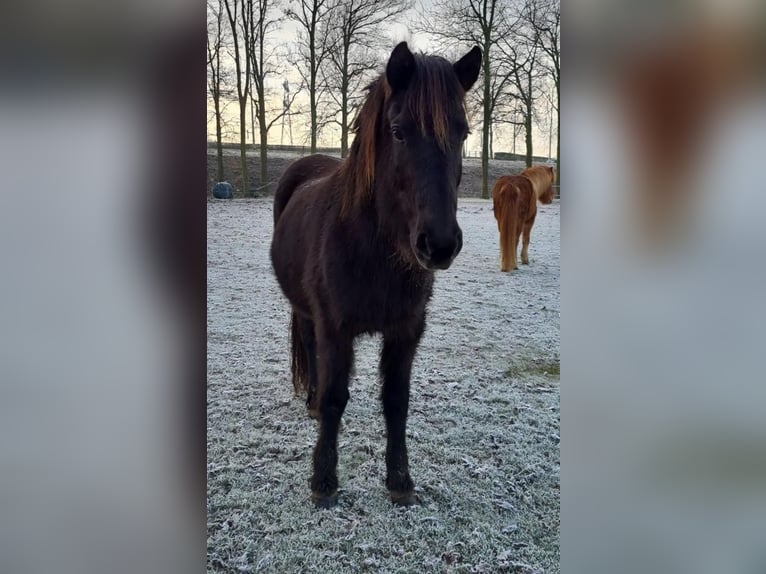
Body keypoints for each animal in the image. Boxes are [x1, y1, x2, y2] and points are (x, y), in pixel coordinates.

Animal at [272, 41, 484, 508]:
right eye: (399, 131)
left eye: (462, 134)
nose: (440, 244)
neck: (372, 248)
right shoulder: (335, 327)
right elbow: (335, 398)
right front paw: (324, 481)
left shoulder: (406, 330)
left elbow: (396, 402)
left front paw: (400, 480)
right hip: (307, 312)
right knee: (310, 351)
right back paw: (310, 401)